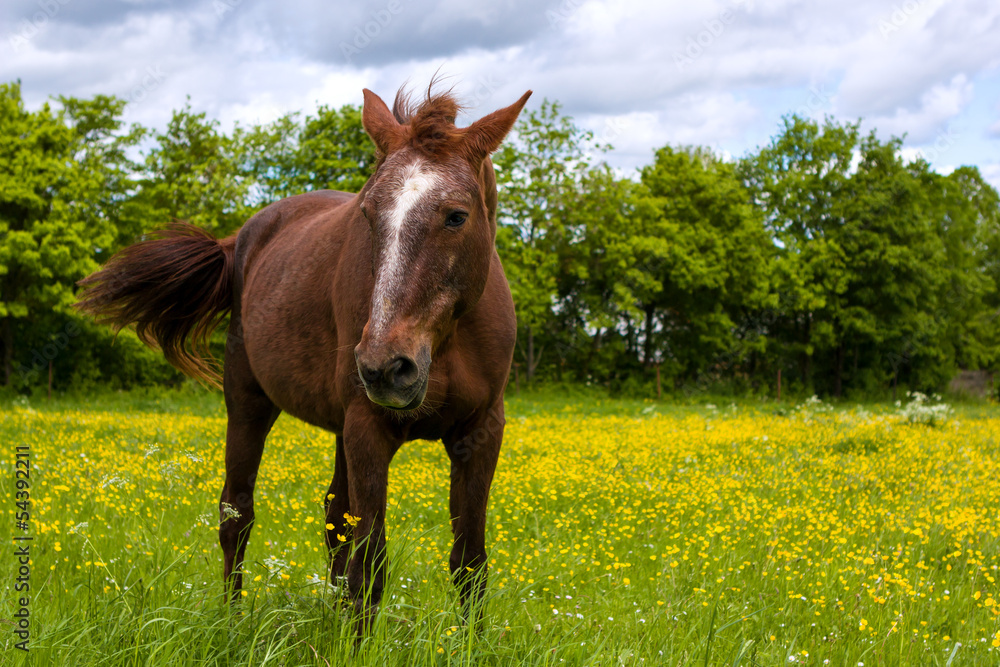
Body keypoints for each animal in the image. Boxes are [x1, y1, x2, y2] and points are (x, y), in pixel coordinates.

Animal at [75, 84, 532, 632]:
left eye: (457, 216)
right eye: (368, 213)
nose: (385, 366)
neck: (444, 341)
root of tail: (242, 239)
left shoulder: (479, 432)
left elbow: (468, 562)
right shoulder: (368, 428)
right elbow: (370, 565)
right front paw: (356, 643)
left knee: (334, 519)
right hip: (249, 406)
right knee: (237, 515)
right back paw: (232, 620)